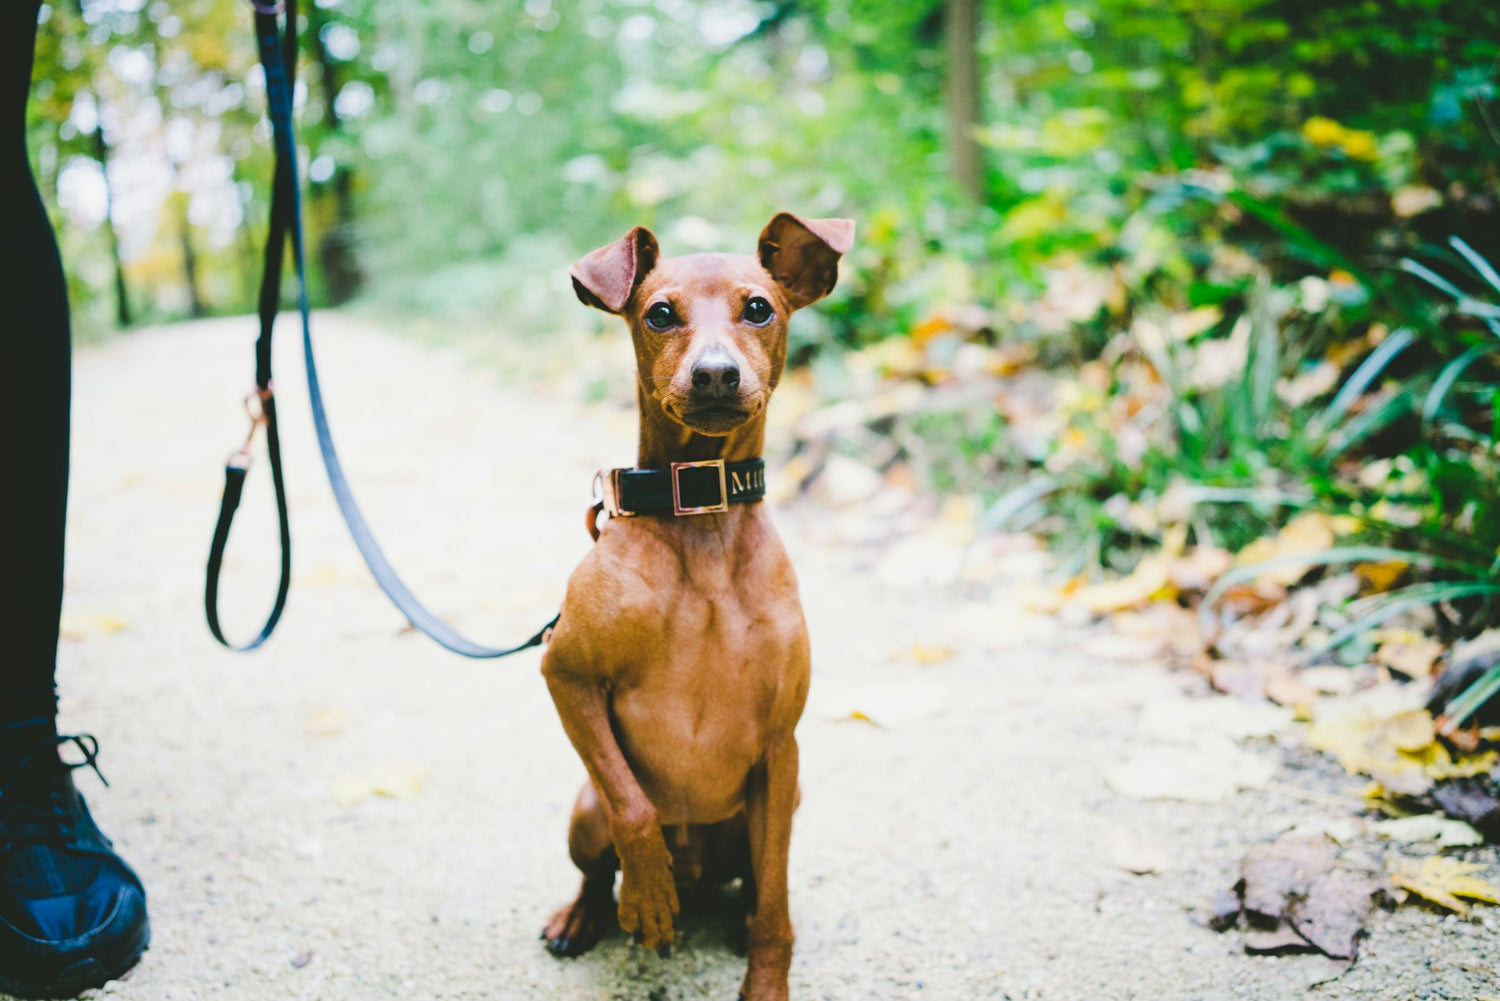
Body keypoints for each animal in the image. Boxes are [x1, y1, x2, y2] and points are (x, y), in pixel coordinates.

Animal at [540, 213, 852, 1001]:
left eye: (758, 308)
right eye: (659, 314)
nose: (715, 372)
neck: (701, 513)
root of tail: (702, 875)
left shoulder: (780, 752)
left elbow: (777, 904)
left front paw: (766, 978)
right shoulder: (565, 673)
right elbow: (636, 809)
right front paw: (647, 893)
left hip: (772, 810)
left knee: (755, 886)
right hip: (582, 809)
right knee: (598, 862)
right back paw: (586, 913)